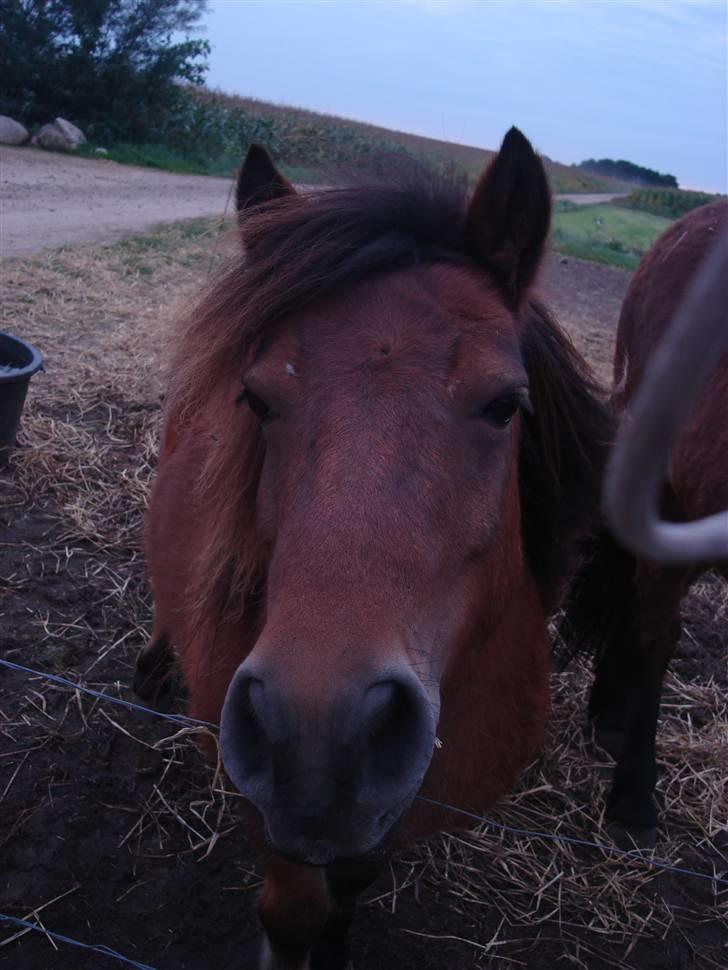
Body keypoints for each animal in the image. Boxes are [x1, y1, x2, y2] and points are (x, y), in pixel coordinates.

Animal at [134, 132, 612, 968]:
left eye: (505, 405)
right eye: (257, 399)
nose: (319, 741)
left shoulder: (394, 809)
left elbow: (353, 881)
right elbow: (292, 913)